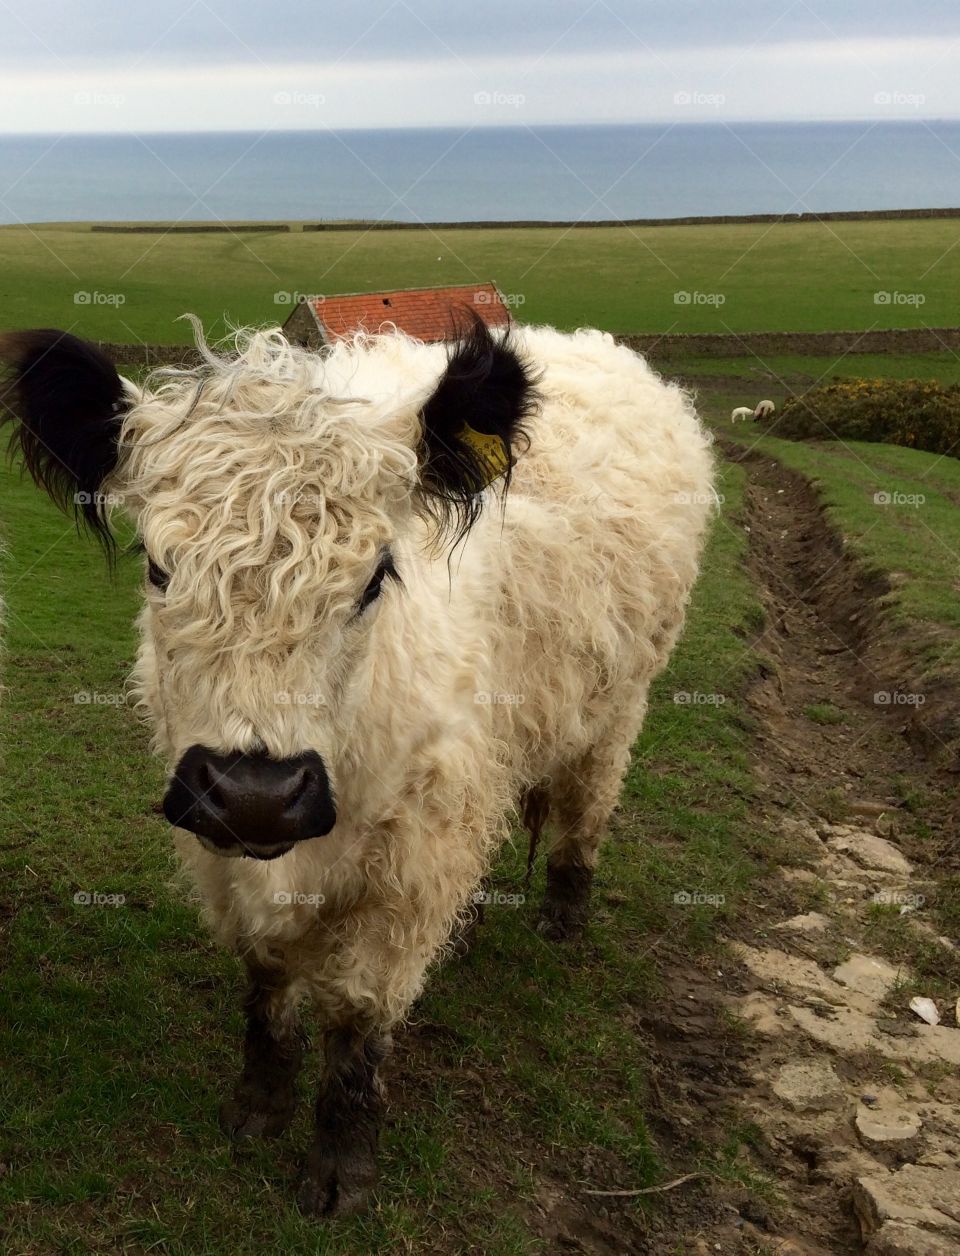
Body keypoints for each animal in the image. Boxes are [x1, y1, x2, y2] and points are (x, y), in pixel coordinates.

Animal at [0, 318, 714, 1215]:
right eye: (158, 567)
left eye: (378, 576)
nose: (258, 793)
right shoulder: (223, 847)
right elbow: (267, 977)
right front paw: (259, 1105)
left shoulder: (410, 855)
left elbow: (357, 1012)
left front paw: (342, 1161)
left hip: (619, 705)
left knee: (587, 805)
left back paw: (565, 913)